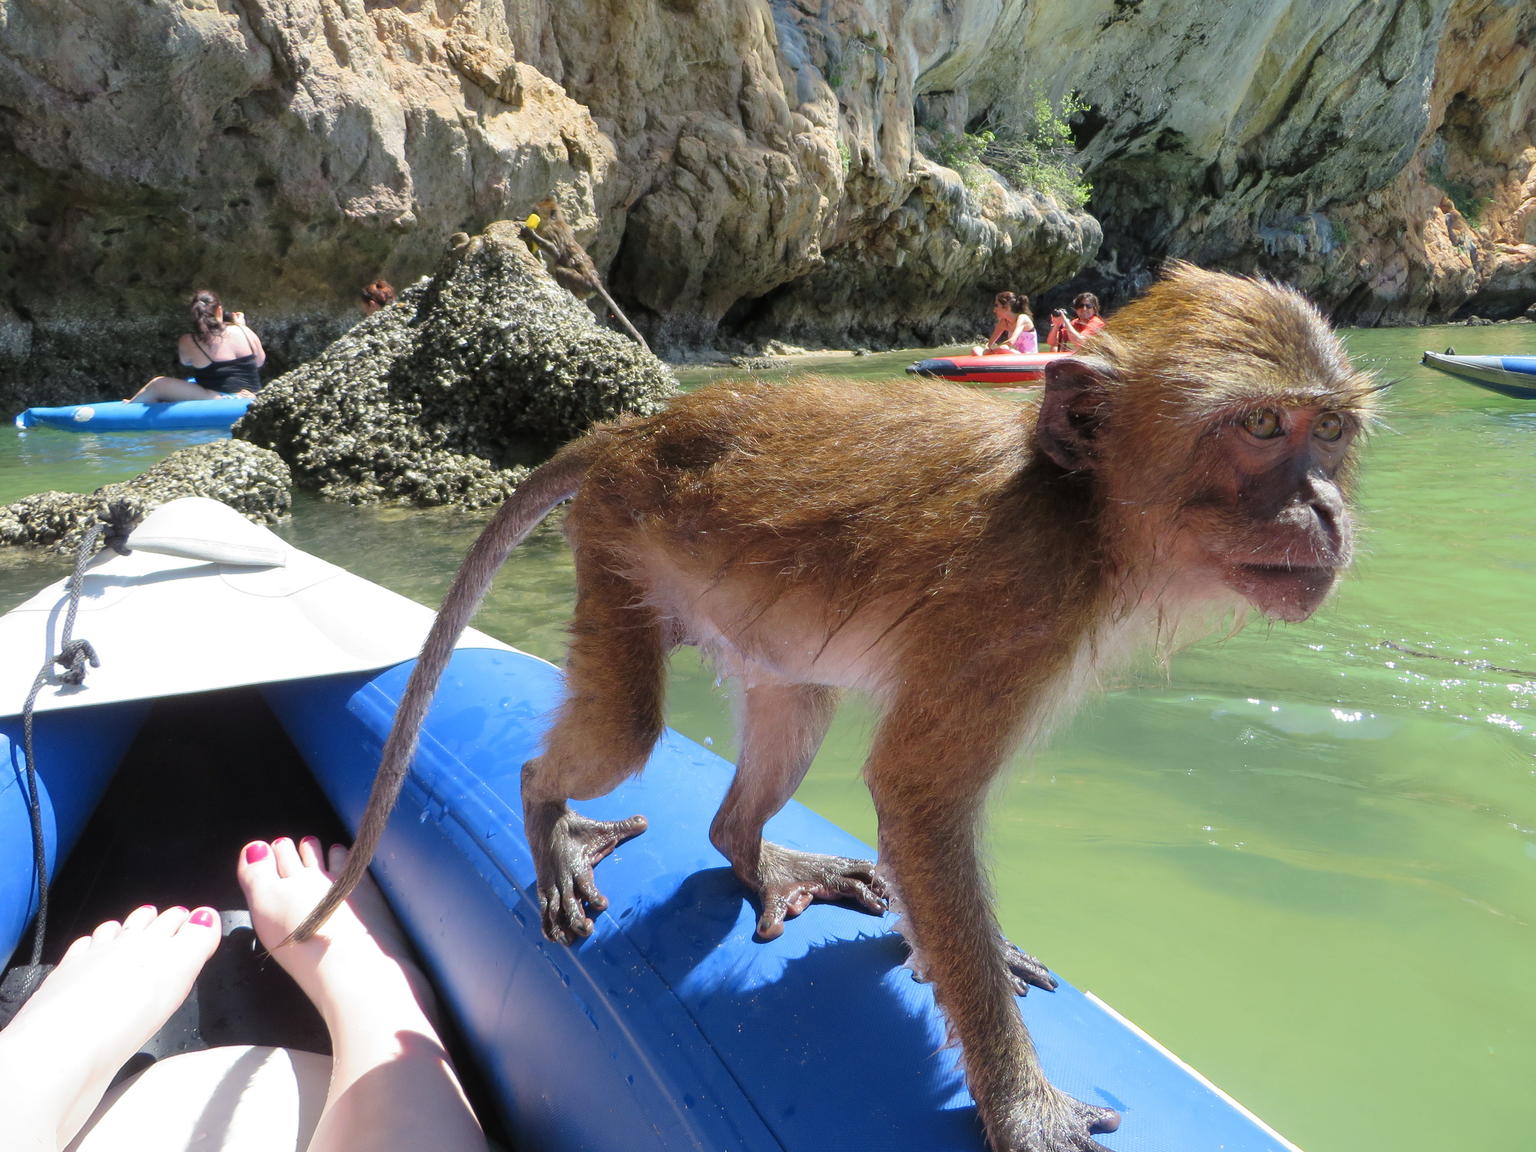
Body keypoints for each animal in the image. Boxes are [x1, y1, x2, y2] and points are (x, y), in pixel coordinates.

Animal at [292, 262, 1379, 1152]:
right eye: (1259, 428)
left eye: (1327, 431)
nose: (1327, 510)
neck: (1082, 513)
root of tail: (639, 428)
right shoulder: (1013, 609)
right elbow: (920, 801)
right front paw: (1020, 1105)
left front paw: (952, 953)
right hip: (615, 544)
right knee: (621, 731)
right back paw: (548, 818)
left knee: (788, 716)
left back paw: (751, 849)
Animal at [521, 197, 651, 352]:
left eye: (536, 211)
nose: (529, 212)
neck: (553, 222)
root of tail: (595, 283)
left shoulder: (551, 232)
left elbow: (555, 251)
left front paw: (530, 233)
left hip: (581, 283)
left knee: (561, 270)